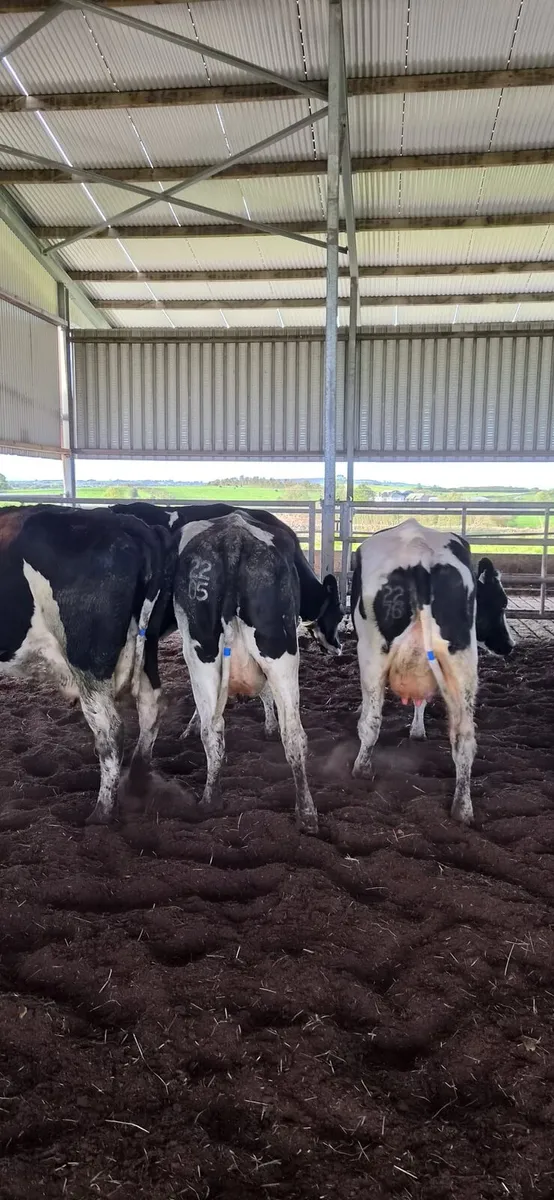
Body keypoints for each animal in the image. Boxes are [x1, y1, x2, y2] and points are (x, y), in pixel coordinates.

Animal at [0, 505, 176, 824]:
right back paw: (139, 781)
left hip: (88, 663)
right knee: (151, 704)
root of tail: (121, 522)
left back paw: (101, 813)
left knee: (110, 730)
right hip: (148, 650)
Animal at [173, 511, 318, 834]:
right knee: (295, 735)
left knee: (212, 732)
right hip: (282, 652)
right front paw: (269, 726)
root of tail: (234, 538)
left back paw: (210, 800)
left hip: (200, 653)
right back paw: (307, 812)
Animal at [350, 519, 513, 824]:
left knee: (371, 722)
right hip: (462, 658)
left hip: (371, 651)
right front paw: (418, 730)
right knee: (464, 737)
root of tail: (420, 553)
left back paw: (360, 770)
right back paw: (462, 809)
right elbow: (421, 700)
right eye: (501, 602)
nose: (510, 645)